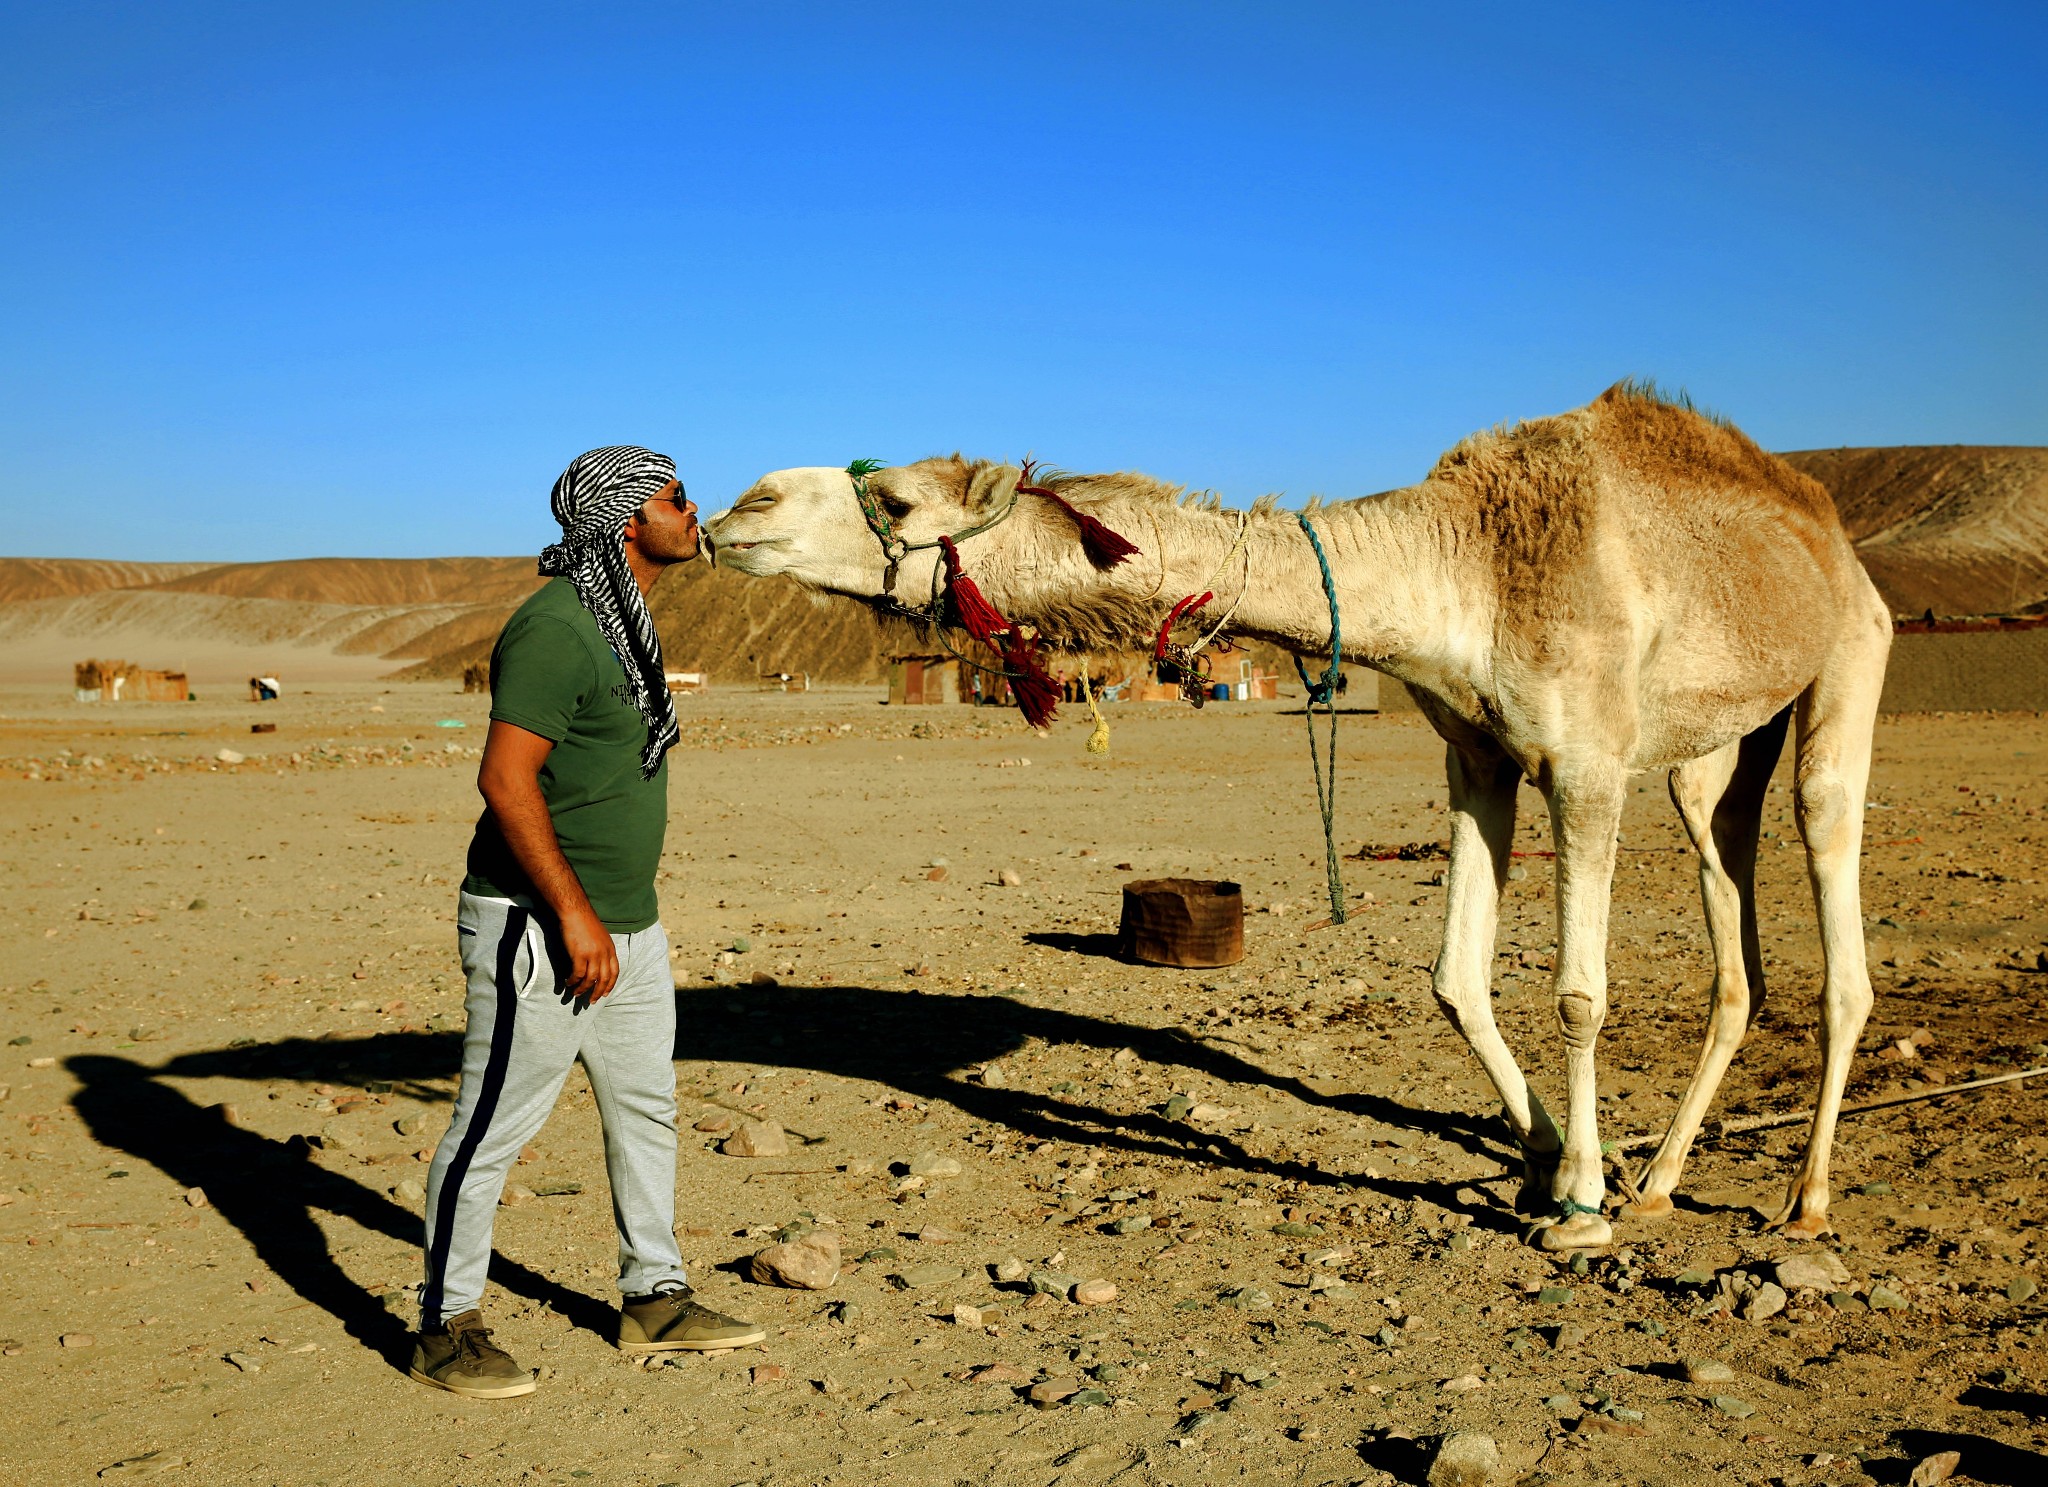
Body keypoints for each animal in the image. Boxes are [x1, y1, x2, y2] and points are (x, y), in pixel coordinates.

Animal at [712, 385, 1892, 1245]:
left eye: (903, 502)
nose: (743, 506)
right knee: (1731, 930)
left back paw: (1801, 1201)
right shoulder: (1478, 757)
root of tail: (1829, 535)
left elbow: (1577, 995)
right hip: (1717, 745)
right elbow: (1454, 980)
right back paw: (1661, 1178)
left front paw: (1580, 1206)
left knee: (1832, 895)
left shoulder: (1585, 764)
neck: (1459, 567)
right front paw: (1543, 1164)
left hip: (1848, 658)